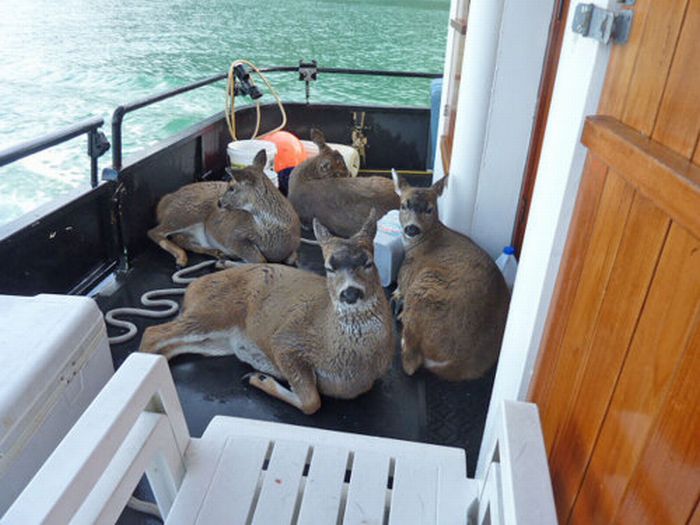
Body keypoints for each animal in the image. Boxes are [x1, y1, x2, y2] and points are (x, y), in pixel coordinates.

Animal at [139, 209, 396, 414]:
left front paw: (260, 376)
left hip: (217, 342)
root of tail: (192, 288)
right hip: (214, 311)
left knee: (171, 347)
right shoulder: (285, 341)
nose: (350, 293)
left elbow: (311, 400)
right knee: (153, 332)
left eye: (368, 262)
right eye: (329, 267)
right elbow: (312, 402)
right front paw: (260, 378)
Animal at [148, 148, 300, 266]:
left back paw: (216, 253)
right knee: (154, 231)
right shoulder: (234, 236)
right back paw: (182, 258)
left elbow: (291, 258)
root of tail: (164, 201)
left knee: (182, 240)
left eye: (232, 188)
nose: (219, 202)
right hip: (188, 211)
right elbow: (260, 260)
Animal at [394, 172, 508, 380]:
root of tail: (455, 363)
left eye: (429, 209)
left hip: (424, 286)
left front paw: (397, 295)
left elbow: (399, 288)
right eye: (403, 205)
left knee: (410, 361)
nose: (411, 229)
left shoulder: (407, 274)